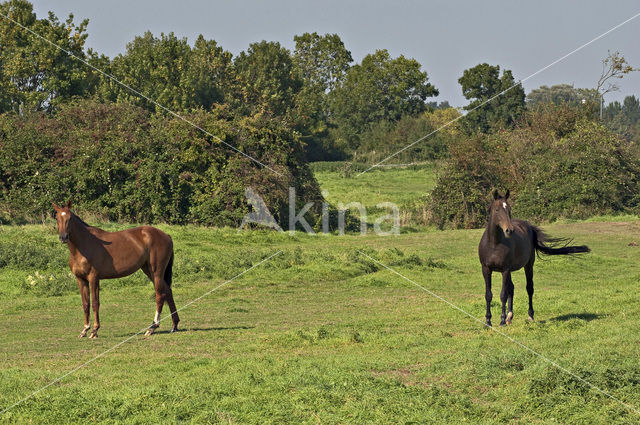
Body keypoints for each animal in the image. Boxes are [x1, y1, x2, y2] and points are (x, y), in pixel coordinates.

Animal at [50, 202, 178, 338]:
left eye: (70, 218)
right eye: (57, 218)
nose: (63, 237)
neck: (82, 247)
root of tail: (166, 236)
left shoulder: (93, 278)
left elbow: (95, 303)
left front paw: (94, 330)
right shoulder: (80, 279)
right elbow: (86, 304)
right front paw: (85, 330)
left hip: (156, 272)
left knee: (160, 295)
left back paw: (152, 327)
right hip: (148, 270)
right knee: (168, 292)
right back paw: (174, 325)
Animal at [480, 190, 592, 326]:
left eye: (509, 209)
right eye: (497, 210)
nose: (509, 230)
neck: (494, 244)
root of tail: (529, 227)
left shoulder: (505, 270)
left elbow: (503, 295)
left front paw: (501, 321)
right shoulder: (486, 269)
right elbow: (488, 295)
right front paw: (488, 321)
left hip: (528, 265)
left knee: (529, 288)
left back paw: (529, 316)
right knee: (511, 288)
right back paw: (509, 316)